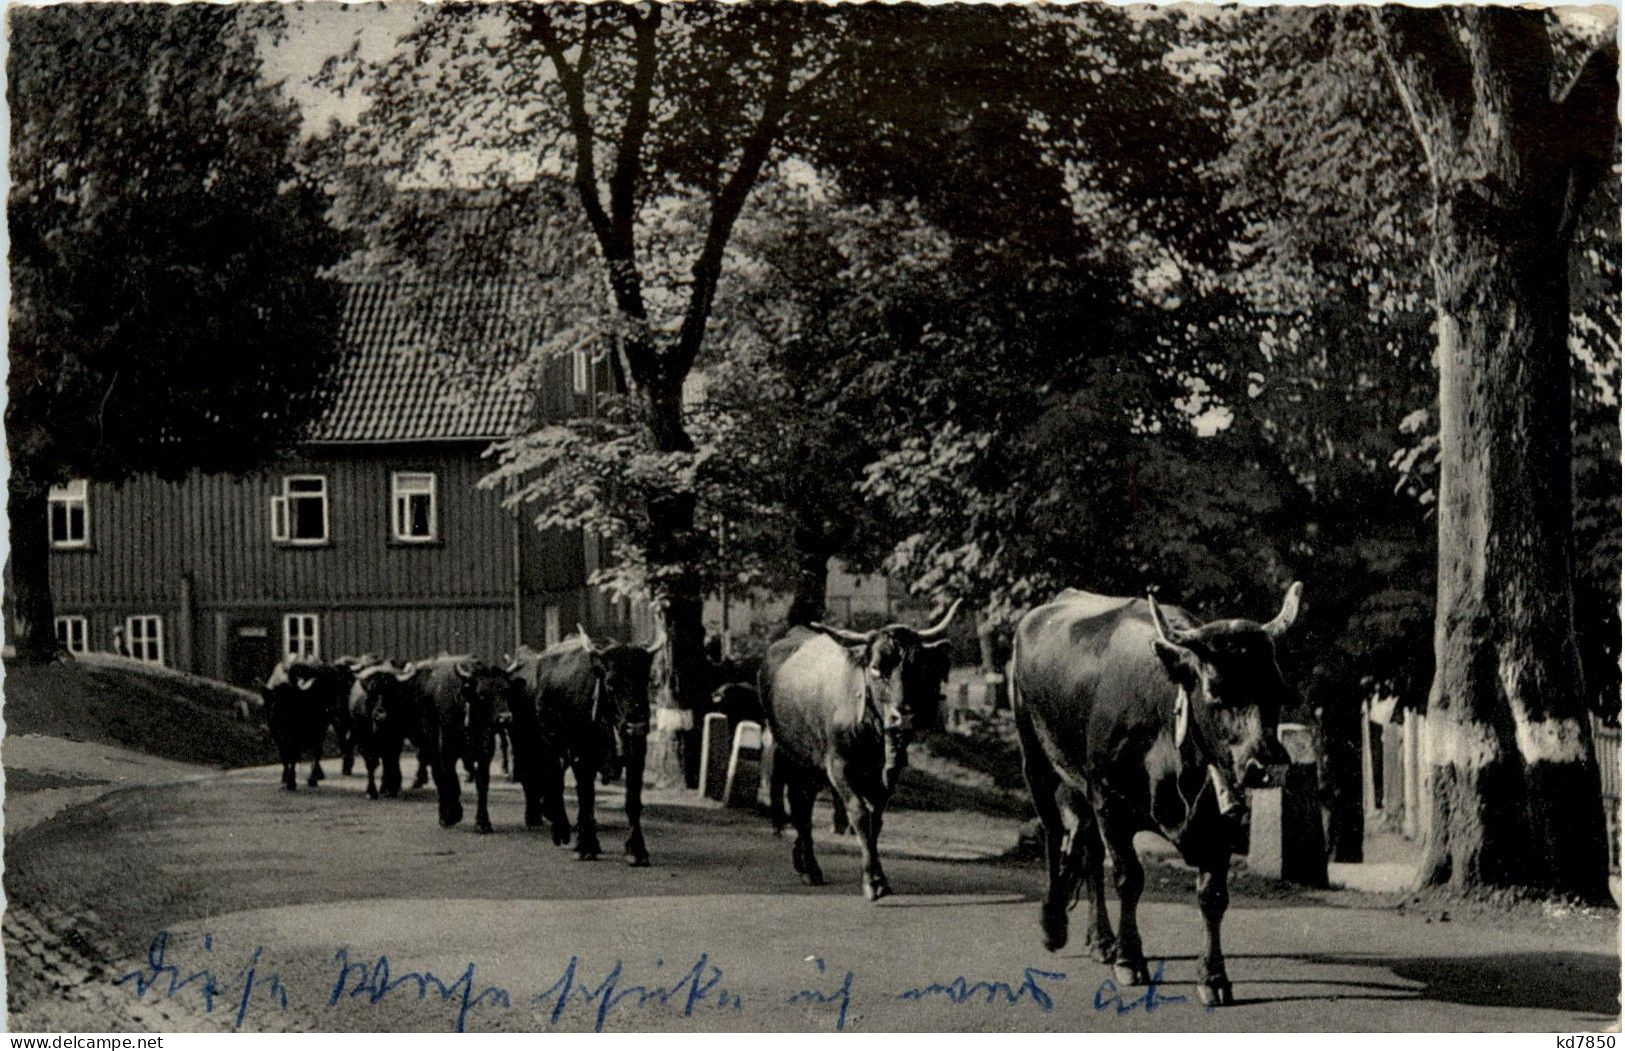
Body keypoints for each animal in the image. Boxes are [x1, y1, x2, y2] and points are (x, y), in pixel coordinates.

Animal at [503, 623, 663, 864]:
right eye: (610, 682)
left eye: (645, 679)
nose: (634, 727)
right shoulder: (581, 755)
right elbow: (586, 797)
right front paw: (586, 846)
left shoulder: (637, 755)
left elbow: (633, 802)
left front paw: (637, 850)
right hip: (543, 743)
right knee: (548, 780)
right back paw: (556, 827)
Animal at [757, 604, 955, 903]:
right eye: (876, 668)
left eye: (917, 667)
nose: (903, 717)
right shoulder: (838, 765)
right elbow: (860, 813)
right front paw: (872, 881)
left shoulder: (887, 771)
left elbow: (876, 818)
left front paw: (879, 875)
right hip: (789, 752)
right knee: (800, 806)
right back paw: (810, 867)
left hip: (811, 766)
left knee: (803, 802)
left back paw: (802, 859)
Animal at [1007, 588, 1300, 1007]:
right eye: (1216, 693)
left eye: (1278, 692)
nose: (1269, 764)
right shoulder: (1110, 802)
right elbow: (1129, 878)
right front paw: (1130, 958)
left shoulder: (1220, 823)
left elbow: (1213, 895)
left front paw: (1213, 976)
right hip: (1037, 761)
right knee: (1053, 832)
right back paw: (1054, 922)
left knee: (1088, 852)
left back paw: (1101, 940)